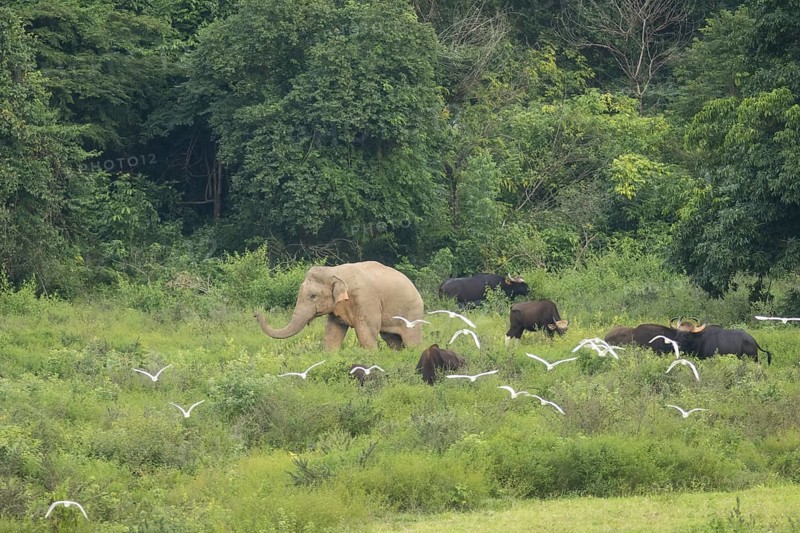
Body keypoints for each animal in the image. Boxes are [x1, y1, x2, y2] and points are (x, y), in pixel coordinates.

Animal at [254, 261, 424, 351]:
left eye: (313, 296)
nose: (256, 313)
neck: (335, 270)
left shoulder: (366, 299)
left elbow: (366, 332)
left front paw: (372, 356)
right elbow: (333, 332)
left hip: (412, 312)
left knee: (411, 340)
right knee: (392, 339)